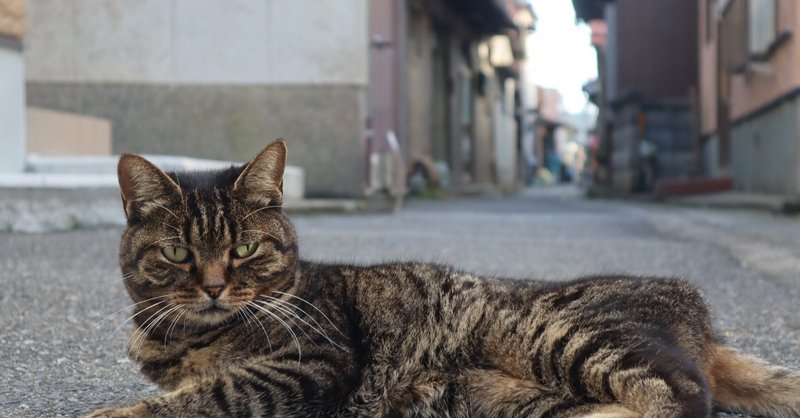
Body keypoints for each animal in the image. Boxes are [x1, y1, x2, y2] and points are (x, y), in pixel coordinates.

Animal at [90, 140, 800, 418]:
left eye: (242, 248)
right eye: (177, 254)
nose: (212, 286)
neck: (185, 336)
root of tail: (701, 315)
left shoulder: (310, 362)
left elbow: (206, 395)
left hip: (563, 333)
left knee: (682, 391)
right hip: (513, 397)